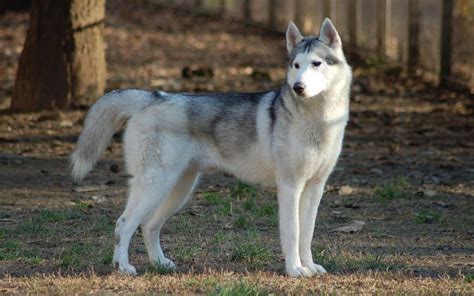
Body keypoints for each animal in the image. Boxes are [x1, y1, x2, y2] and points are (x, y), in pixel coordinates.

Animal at [71, 18, 352, 278]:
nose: (298, 87)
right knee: (123, 224)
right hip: (155, 185)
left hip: (179, 189)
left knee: (149, 225)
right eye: (296, 66)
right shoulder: (289, 186)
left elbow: (307, 234)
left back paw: (159, 263)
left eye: (316, 64)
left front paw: (309, 266)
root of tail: (153, 97)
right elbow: (292, 233)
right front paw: (295, 269)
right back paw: (123, 267)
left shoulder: (315, 188)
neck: (319, 121)